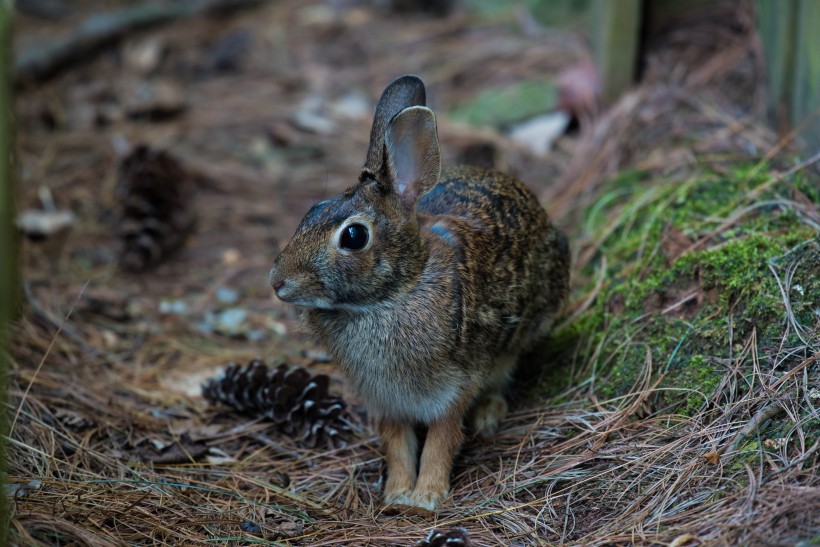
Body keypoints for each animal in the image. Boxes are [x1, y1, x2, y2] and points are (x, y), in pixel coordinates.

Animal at [270, 75, 572, 512]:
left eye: (354, 236)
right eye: (312, 210)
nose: (277, 282)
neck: (394, 294)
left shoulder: (454, 386)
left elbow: (441, 440)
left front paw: (427, 496)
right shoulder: (386, 401)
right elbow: (397, 445)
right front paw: (397, 494)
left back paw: (488, 416)